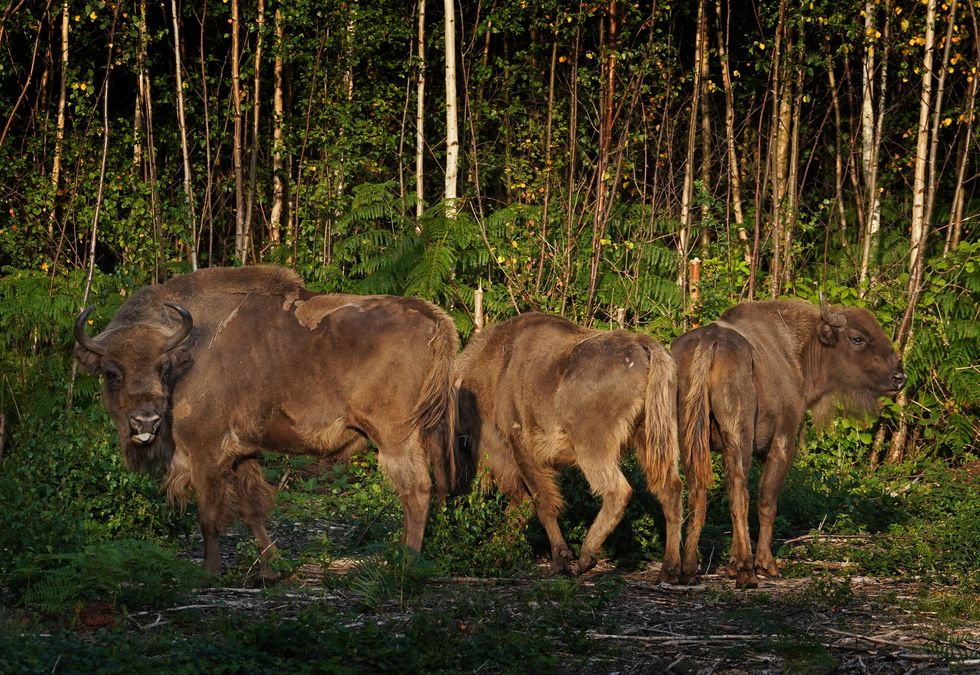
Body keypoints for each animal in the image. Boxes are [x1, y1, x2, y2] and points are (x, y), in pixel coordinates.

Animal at [75, 264, 460, 576]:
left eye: (162, 367)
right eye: (111, 372)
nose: (145, 422)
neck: (187, 351)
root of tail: (434, 317)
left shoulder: (205, 452)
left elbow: (209, 515)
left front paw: (210, 571)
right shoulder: (243, 452)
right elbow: (252, 509)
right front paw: (272, 567)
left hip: (395, 438)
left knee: (416, 490)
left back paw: (405, 562)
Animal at [458, 312, 680, 580]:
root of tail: (640, 344)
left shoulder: (522, 450)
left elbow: (542, 504)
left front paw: (560, 561)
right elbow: (525, 505)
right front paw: (497, 553)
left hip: (593, 448)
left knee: (618, 490)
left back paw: (587, 557)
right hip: (652, 438)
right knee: (671, 489)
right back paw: (671, 570)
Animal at [668, 298, 908, 588]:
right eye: (857, 338)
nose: (899, 378)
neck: (798, 352)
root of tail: (710, 341)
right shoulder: (783, 439)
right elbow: (767, 500)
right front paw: (765, 564)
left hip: (688, 436)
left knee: (696, 492)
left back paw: (688, 569)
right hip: (737, 434)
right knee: (739, 492)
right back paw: (746, 572)